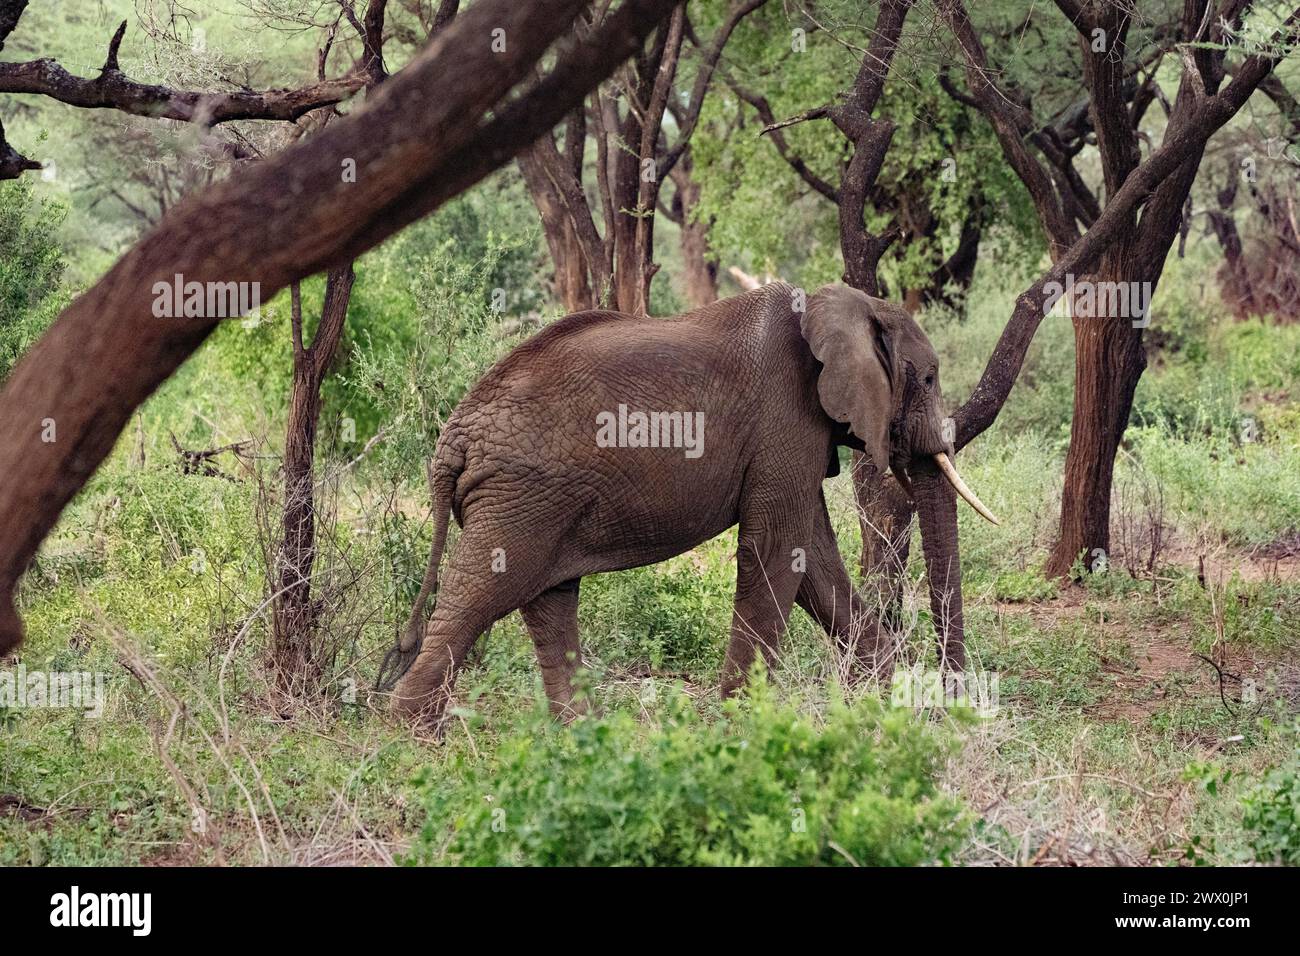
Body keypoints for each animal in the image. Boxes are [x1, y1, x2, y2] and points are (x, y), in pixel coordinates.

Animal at [379, 280, 998, 728]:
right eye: (929, 377)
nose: (951, 702)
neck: (851, 303)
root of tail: (452, 439)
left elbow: (813, 560)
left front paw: (887, 698)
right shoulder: (788, 418)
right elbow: (776, 550)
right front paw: (741, 722)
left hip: (538, 497)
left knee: (547, 599)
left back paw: (585, 734)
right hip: (519, 494)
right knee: (481, 592)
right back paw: (413, 733)